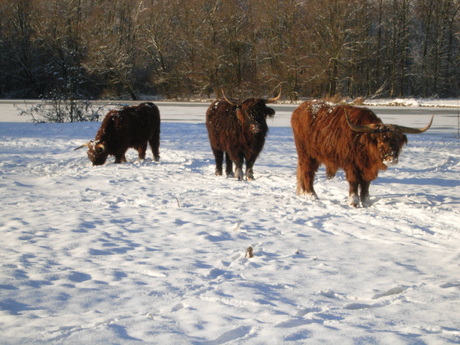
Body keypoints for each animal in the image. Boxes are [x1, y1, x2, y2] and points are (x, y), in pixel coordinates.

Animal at [292, 100, 434, 207]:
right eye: (381, 140)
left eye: (398, 141)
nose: (391, 159)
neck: (363, 142)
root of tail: (299, 109)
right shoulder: (352, 166)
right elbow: (354, 183)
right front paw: (354, 203)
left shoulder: (368, 169)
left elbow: (366, 185)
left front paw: (366, 203)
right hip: (307, 155)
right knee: (308, 173)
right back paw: (312, 195)